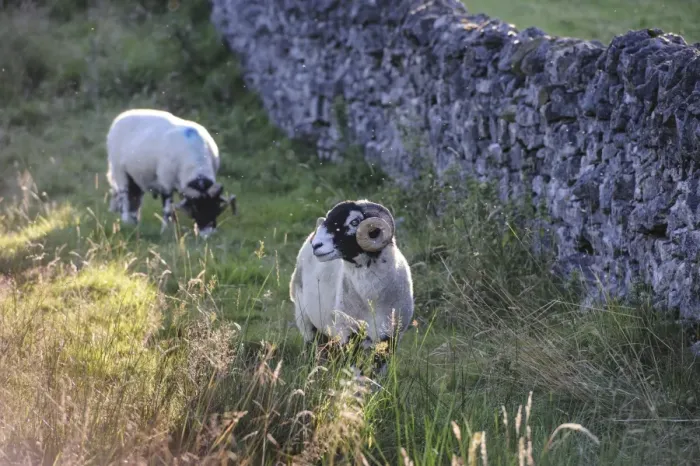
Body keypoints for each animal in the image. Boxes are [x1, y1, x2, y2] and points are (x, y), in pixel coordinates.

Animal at [106, 108, 236, 238]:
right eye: (196, 208)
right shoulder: (166, 183)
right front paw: (165, 231)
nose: (207, 235)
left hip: (136, 176)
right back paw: (126, 221)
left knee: (134, 197)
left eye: (216, 207)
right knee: (125, 196)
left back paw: (133, 221)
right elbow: (168, 210)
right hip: (119, 171)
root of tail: (123, 115)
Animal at [289, 199, 414, 376]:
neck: (371, 298)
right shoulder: (349, 334)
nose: (316, 245)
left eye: (354, 222)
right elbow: (354, 370)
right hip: (306, 321)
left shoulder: (391, 336)